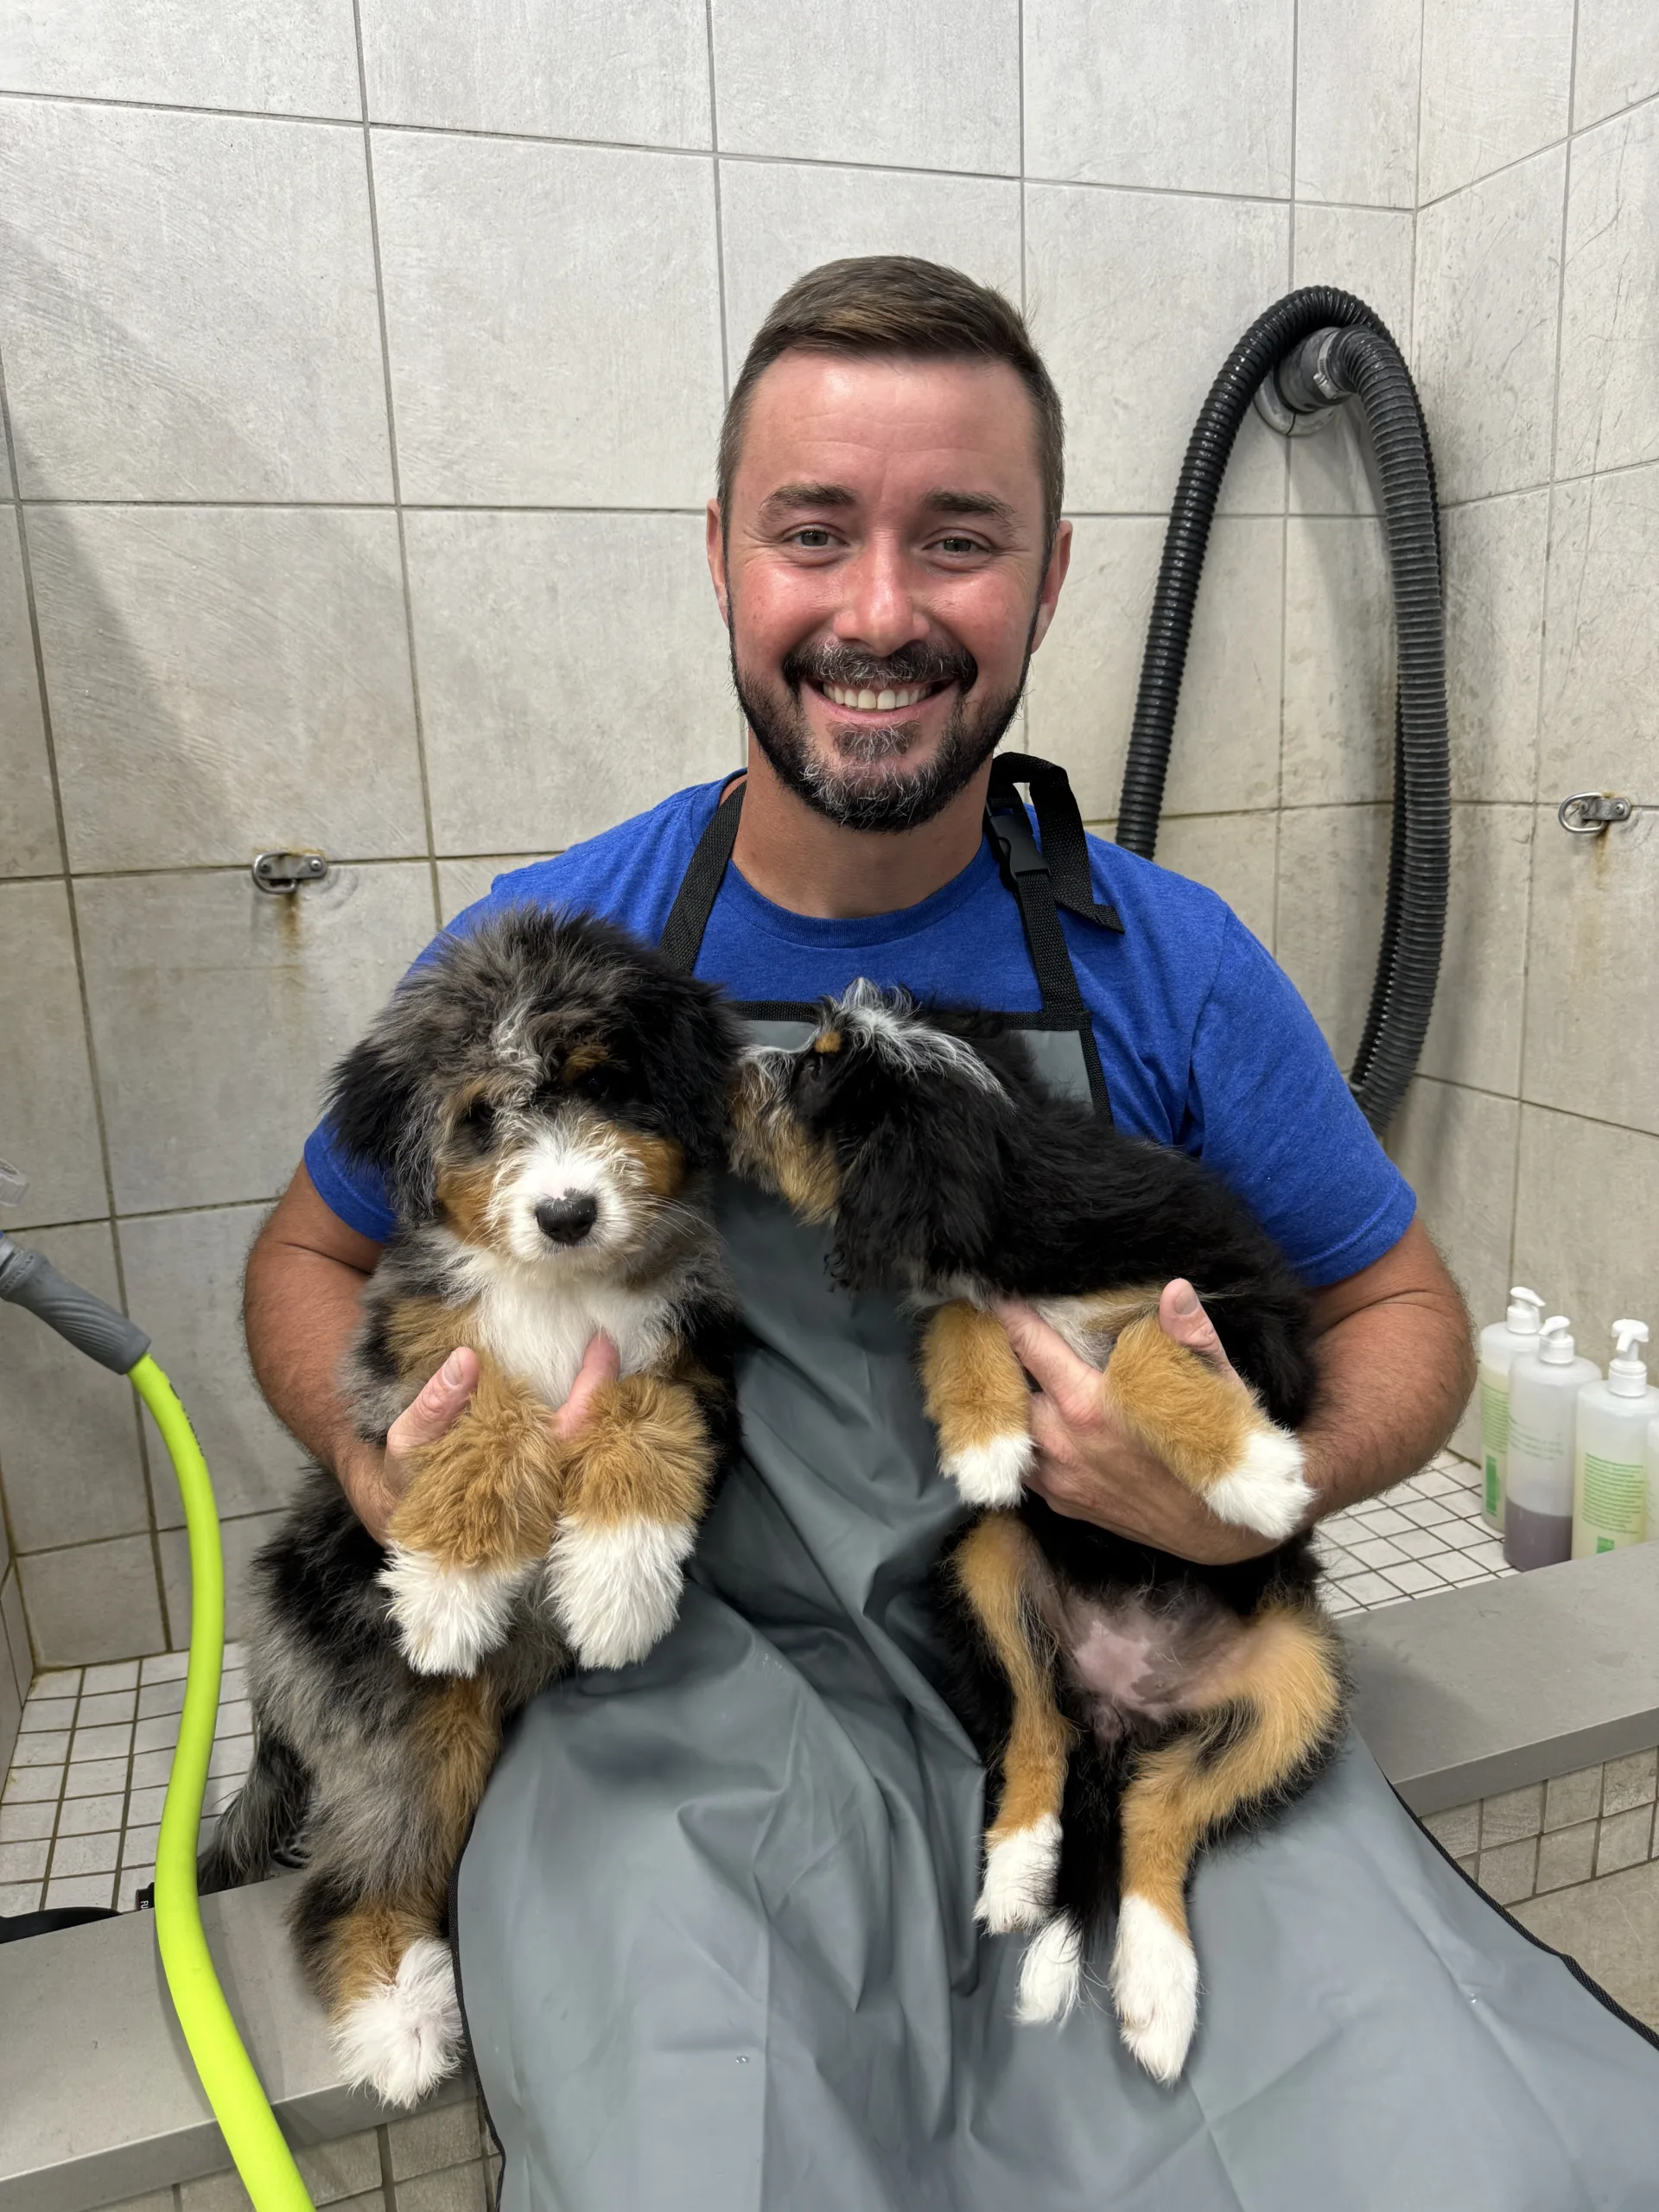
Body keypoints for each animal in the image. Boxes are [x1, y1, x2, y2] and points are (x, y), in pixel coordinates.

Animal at [200, 911, 739, 2106]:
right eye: (483, 1115)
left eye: (605, 1085)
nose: (567, 1211)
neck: (559, 1294)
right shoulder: (407, 1355)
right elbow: (482, 1402)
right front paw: (449, 1588)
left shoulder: (694, 1353)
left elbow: (641, 1409)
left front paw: (616, 1584)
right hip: (401, 1718)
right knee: (350, 1885)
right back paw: (399, 2018)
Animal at [739, 986, 1353, 2088]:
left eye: (810, 1071)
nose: (733, 1070)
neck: (1020, 1182)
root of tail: (1125, 1704)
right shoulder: (971, 1290)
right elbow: (964, 1314)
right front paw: (986, 1440)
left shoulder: (1247, 1316)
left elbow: (1146, 1343)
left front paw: (1256, 1473)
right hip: (989, 1562)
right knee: (1043, 1735)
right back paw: (1023, 1871)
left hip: (1301, 1678)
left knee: (1159, 1810)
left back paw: (1156, 1989)